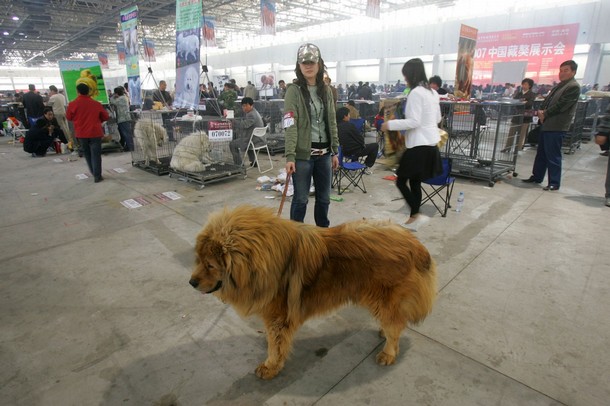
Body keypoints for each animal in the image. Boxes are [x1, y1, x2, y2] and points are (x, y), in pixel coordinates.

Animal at [188, 206, 434, 380]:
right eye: (198, 260)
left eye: (210, 265)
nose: (191, 282)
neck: (260, 262)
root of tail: (414, 243)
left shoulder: (278, 317)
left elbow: (275, 345)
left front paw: (270, 366)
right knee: (395, 322)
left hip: (382, 298)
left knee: (395, 326)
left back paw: (388, 352)